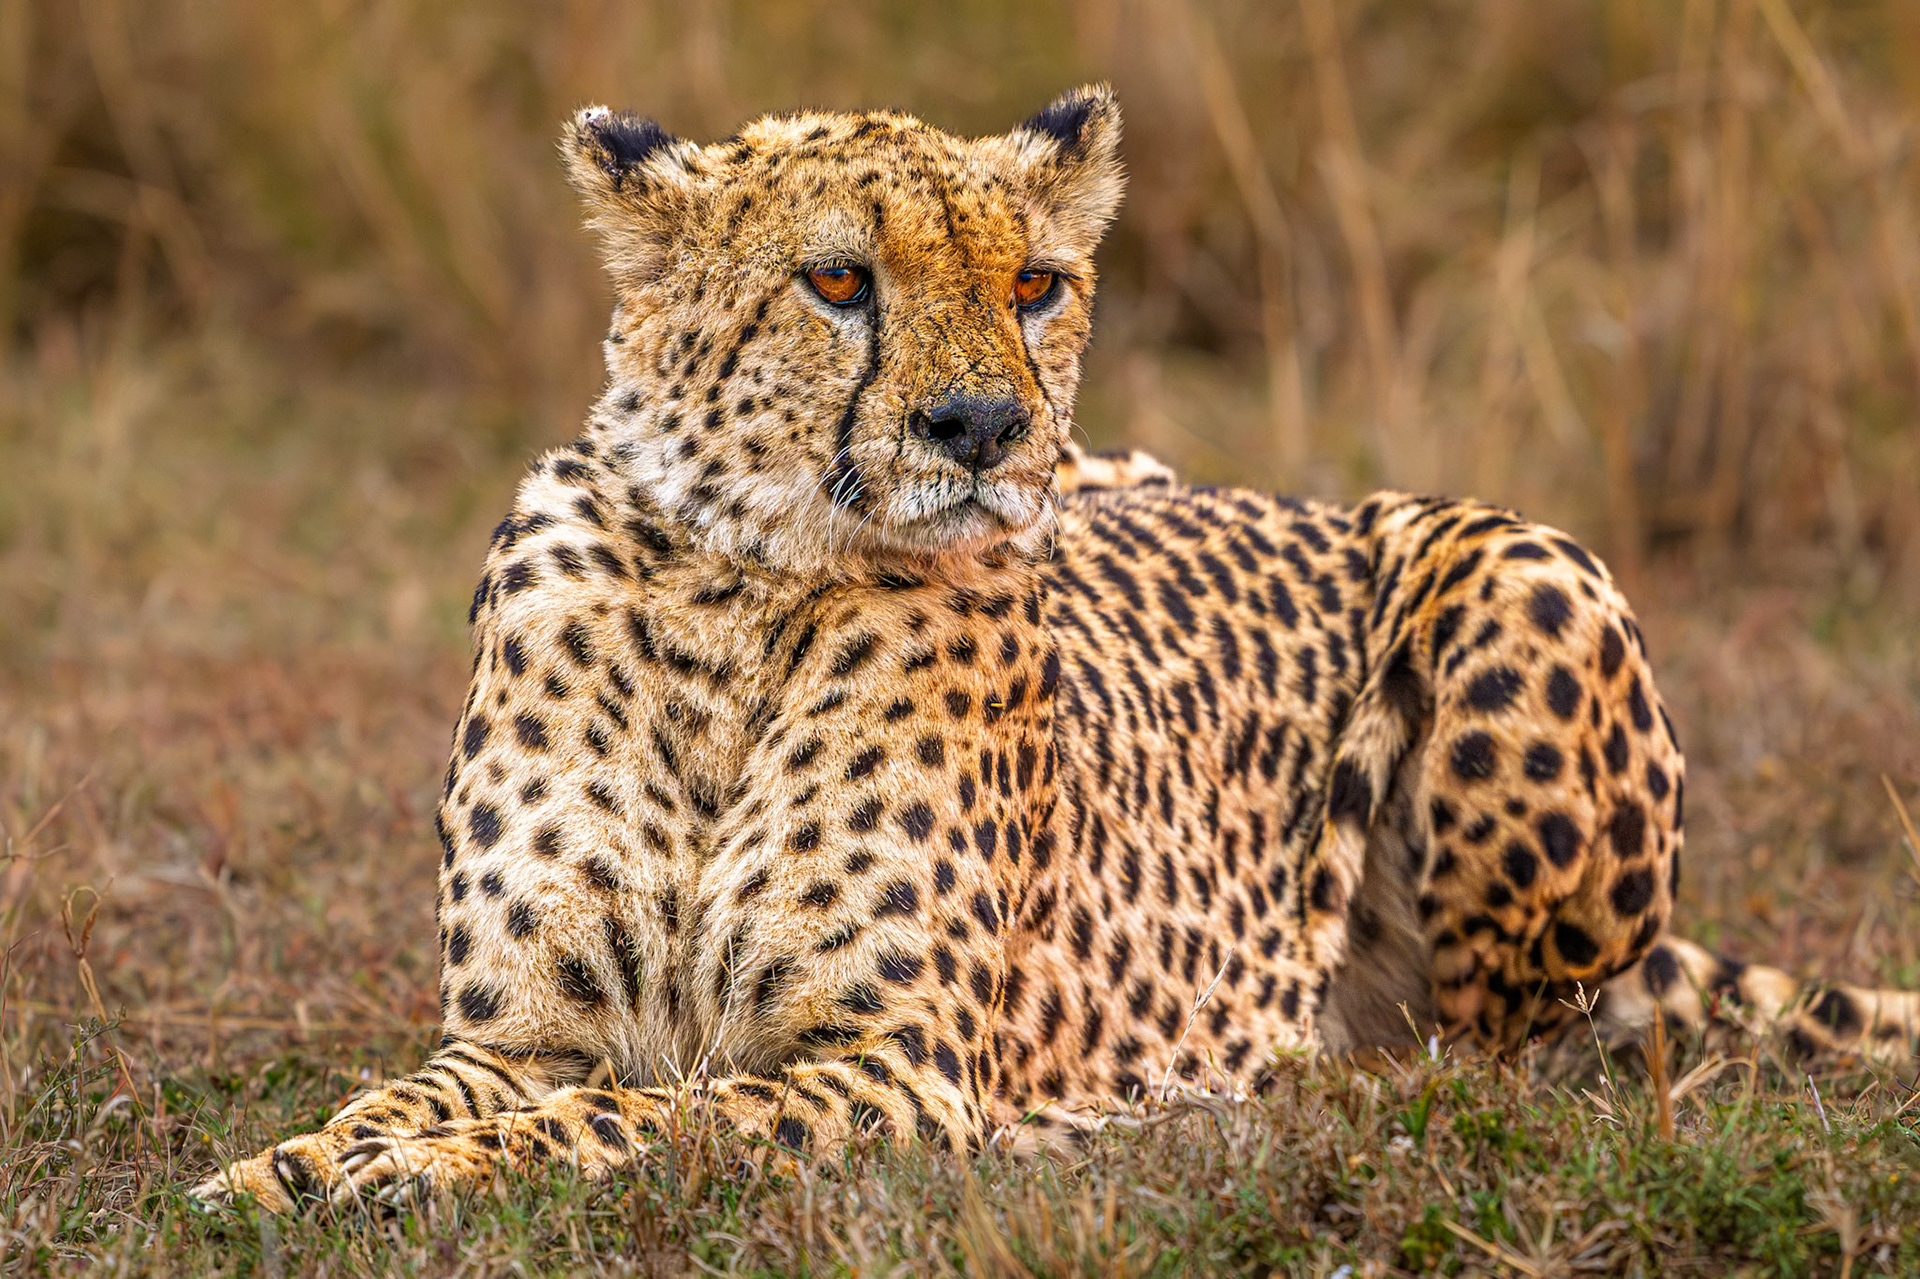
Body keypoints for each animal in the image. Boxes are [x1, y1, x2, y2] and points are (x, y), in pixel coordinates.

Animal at [194, 85, 1920, 1214]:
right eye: (839, 278)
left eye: (1035, 282)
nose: (984, 426)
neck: (737, 600)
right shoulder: (526, 1033)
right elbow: (416, 1093)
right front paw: (292, 1159)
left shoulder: (890, 1065)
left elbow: (643, 1121)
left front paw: (414, 1171)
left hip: (1518, 560)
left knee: (1511, 1051)